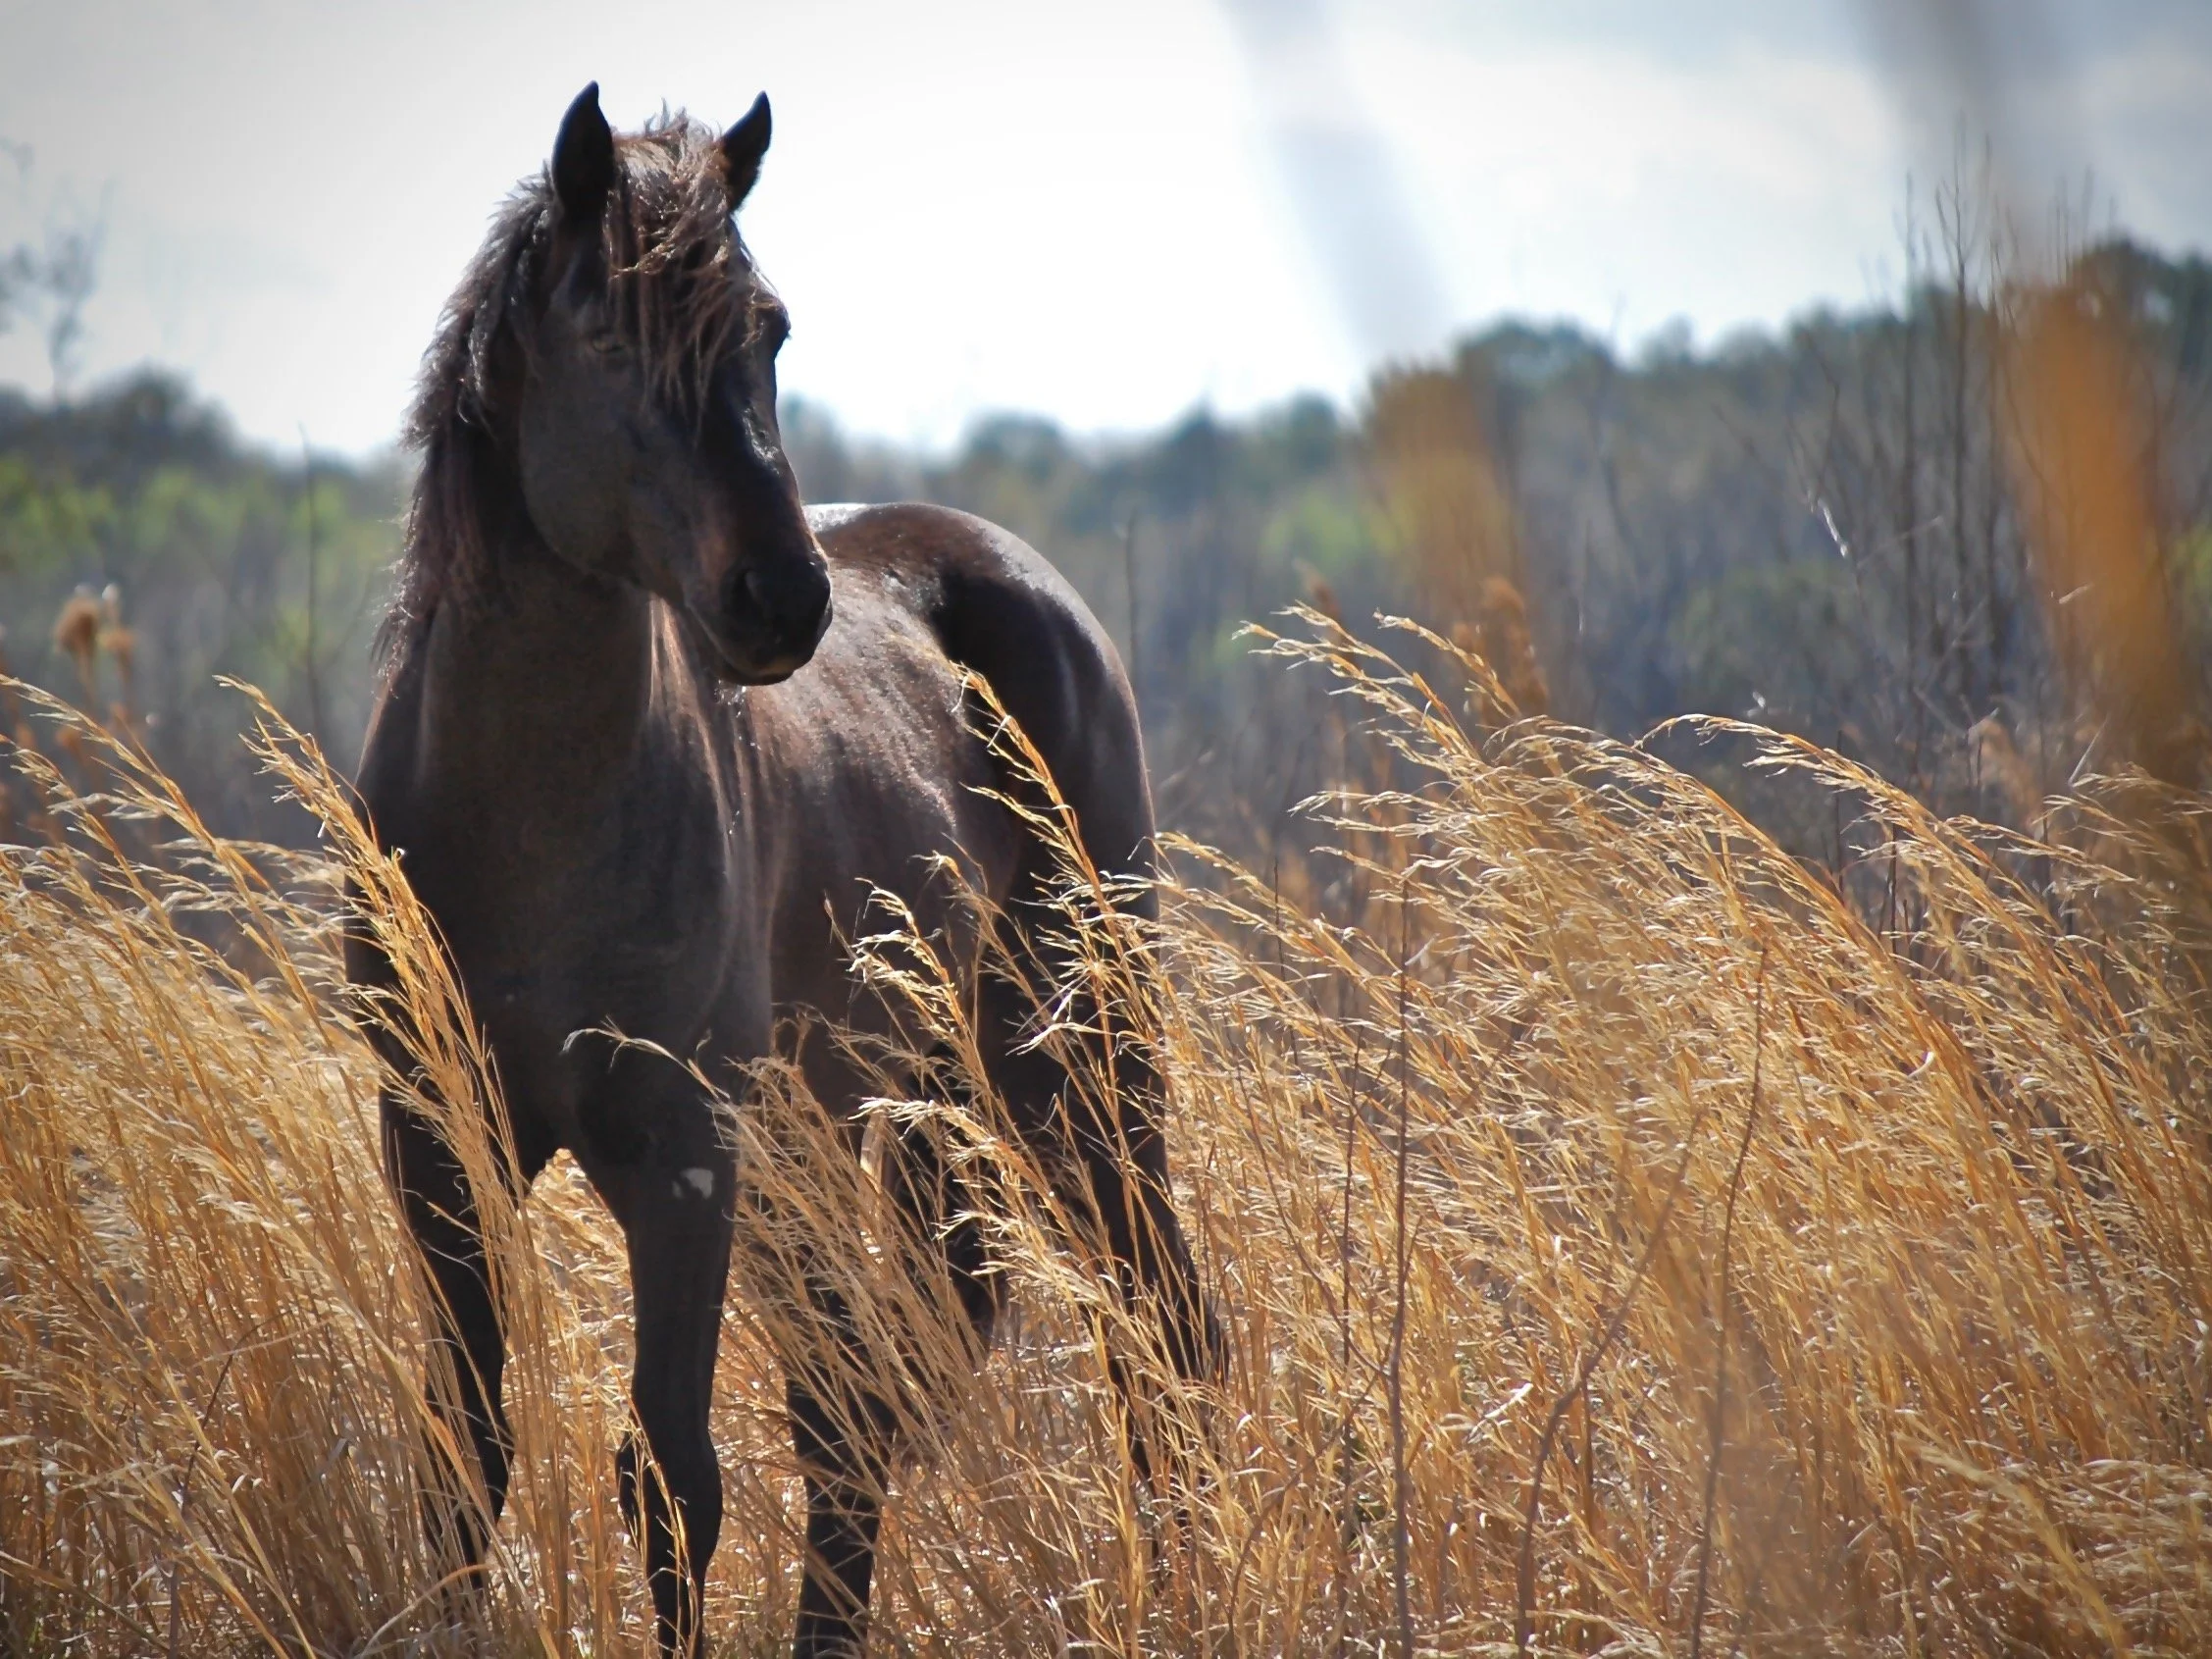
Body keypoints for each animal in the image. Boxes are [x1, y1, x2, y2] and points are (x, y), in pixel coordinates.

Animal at [346, 83, 1219, 1657]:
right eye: (608, 335)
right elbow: (466, 1455)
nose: (780, 595)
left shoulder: (684, 1152)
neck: (523, 819)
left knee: (1154, 1330)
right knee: (861, 1404)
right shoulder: (439, 1139)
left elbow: (668, 1476)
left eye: (770, 329)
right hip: (872, 1121)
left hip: (1073, 1070)